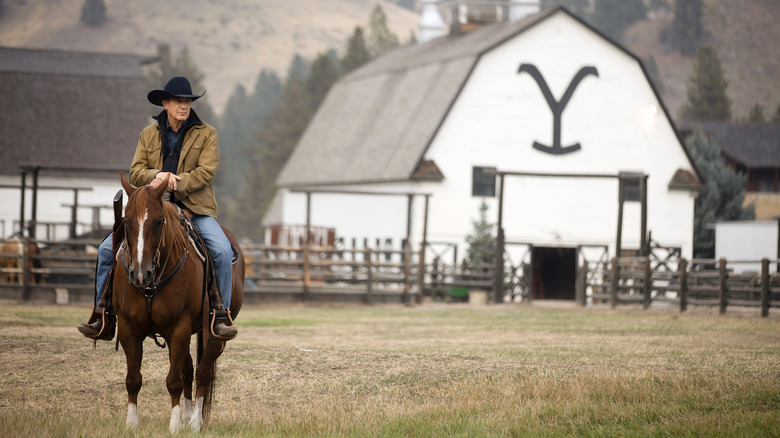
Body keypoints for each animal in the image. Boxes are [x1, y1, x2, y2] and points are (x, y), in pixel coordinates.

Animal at [115, 173, 244, 432]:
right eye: (127, 221)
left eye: (158, 221)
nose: (140, 273)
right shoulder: (127, 327)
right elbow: (133, 378)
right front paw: (132, 423)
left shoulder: (179, 327)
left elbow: (174, 380)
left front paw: (174, 425)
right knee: (189, 369)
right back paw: (187, 416)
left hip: (213, 335)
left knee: (203, 372)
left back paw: (195, 422)